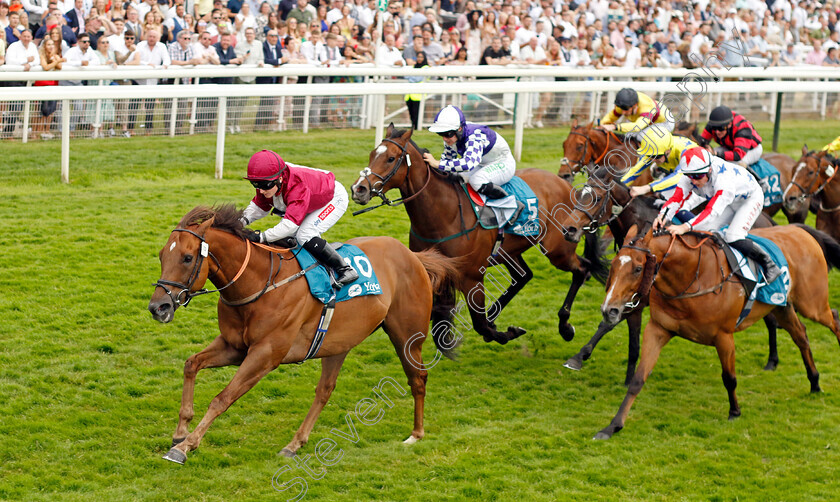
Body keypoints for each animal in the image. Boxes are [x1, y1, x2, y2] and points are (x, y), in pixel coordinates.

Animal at [146, 206, 460, 464]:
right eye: (162, 255)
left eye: (187, 258)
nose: (158, 307)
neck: (260, 282)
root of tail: (413, 256)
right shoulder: (234, 347)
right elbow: (191, 364)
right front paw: (180, 431)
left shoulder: (265, 355)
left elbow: (222, 399)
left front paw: (185, 446)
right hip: (338, 343)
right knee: (324, 391)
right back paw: (294, 444)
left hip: (407, 335)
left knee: (417, 378)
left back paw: (416, 433)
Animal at [352, 125, 608, 352]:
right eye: (372, 154)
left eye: (391, 158)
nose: (359, 189)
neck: (444, 214)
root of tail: (566, 185)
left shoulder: (472, 276)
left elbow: (479, 325)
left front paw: (507, 333)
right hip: (508, 252)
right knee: (524, 275)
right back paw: (497, 313)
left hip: (558, 250)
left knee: (582, 269)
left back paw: (565, 326)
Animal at [556, 165, 780, 384]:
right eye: (579, 195)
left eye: (598, 198)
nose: (569, 229)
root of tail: (767, 219)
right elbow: (631, 340)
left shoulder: (638, 297)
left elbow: (607, 323)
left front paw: (578, 356)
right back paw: (772, 360)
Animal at [592, 225, 840, 440]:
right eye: (613, 266)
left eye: (637, 269)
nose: (608, 310)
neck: (692, 278)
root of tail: (799, 229)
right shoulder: (658, 329)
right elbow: (638, 379)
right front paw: (612, 426)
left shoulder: (724, 337)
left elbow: (729, 378)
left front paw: (734, 412)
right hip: (782, 306)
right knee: (801, 336)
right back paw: (815, 382)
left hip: (812, 304)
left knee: (834, 319)